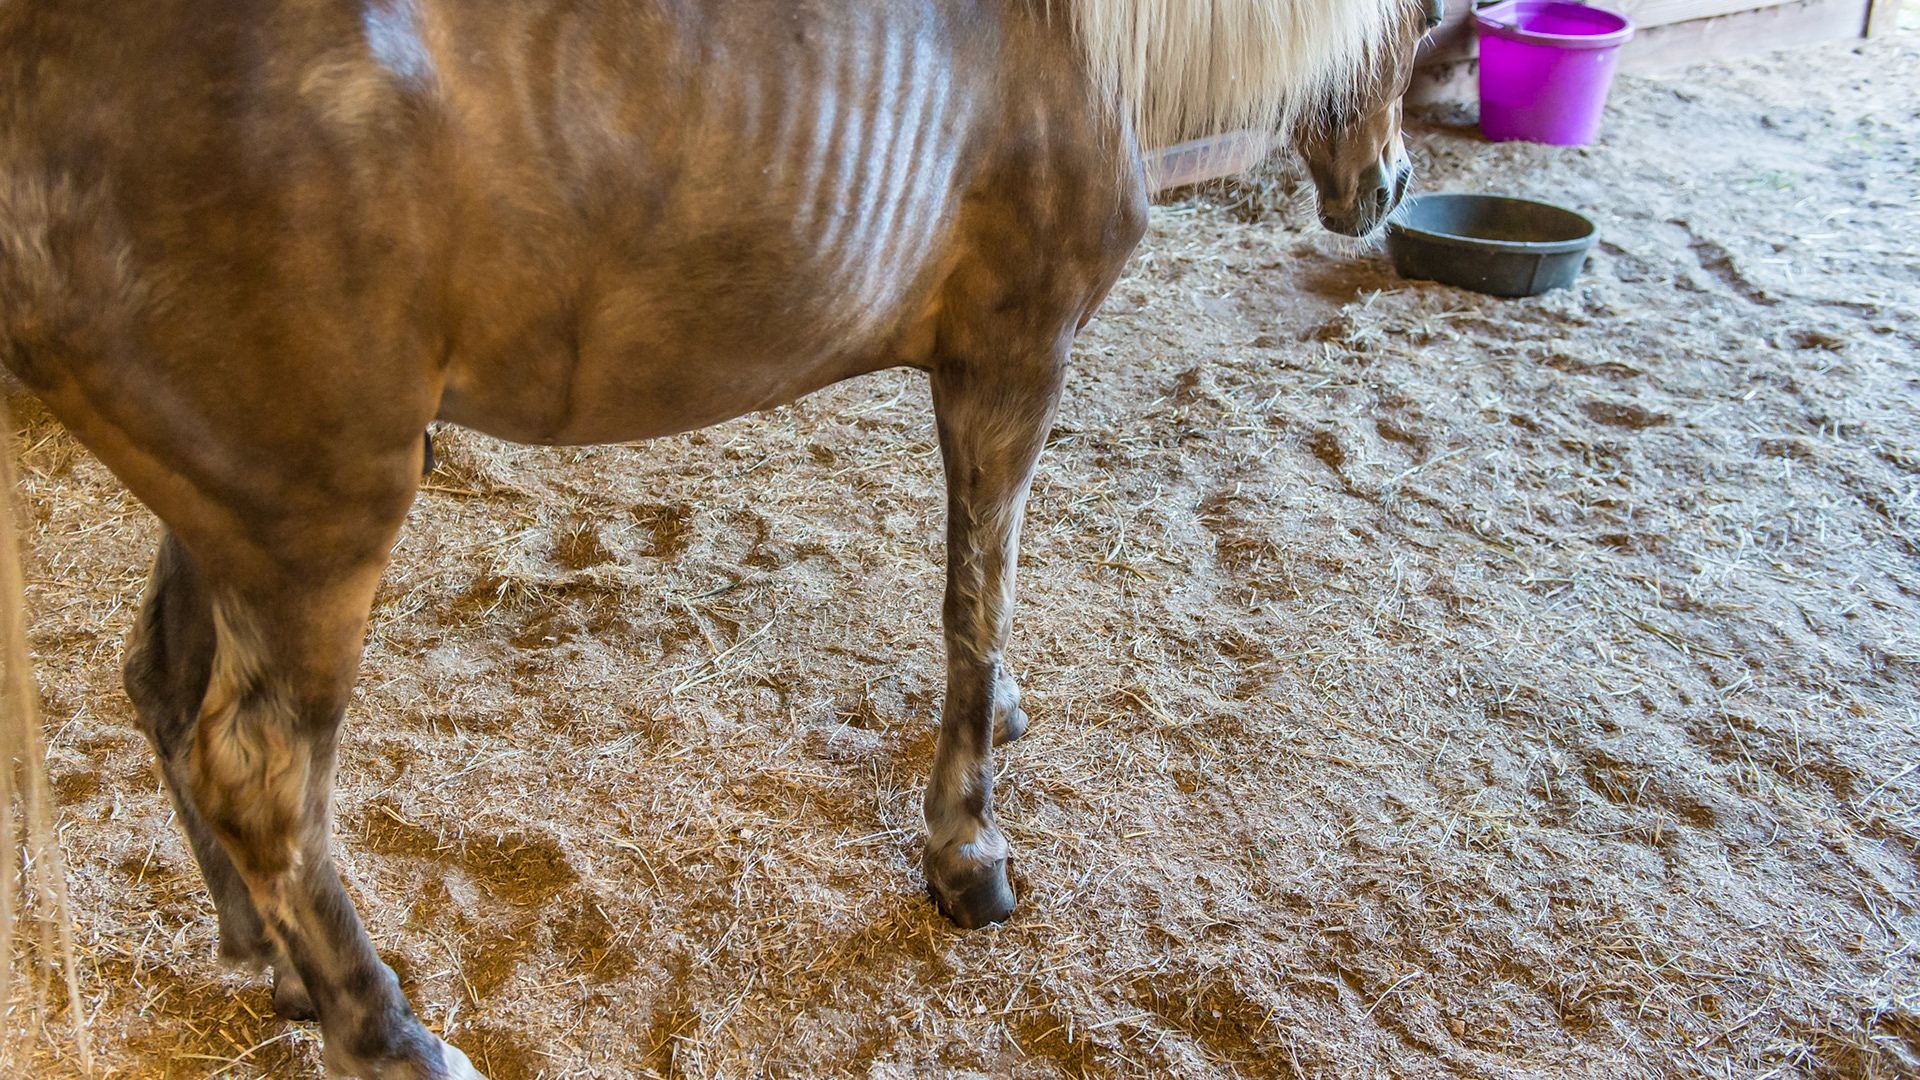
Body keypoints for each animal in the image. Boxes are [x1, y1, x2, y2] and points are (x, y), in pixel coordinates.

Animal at [0, 1, 1433, 1075]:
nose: (1388, 186)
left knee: (168, 694)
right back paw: (393, 1039)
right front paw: (965, 849)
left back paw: (271, 962)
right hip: (310, 528)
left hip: (222, 514)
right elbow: (978, 593)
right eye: (1420, 26)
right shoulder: (1010, 363)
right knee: (258, 774)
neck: (1075, 42)